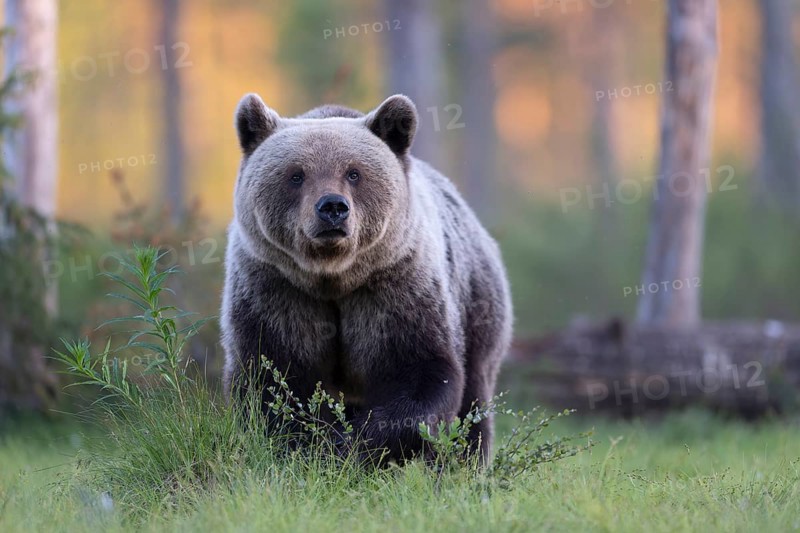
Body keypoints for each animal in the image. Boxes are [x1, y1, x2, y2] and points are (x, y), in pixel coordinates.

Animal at [221, 93, 512, 464]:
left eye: (353, 173)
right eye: (296, 175)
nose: (332, 207)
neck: (332, 276)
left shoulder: (395, 287)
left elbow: (419, 375)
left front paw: (352, 445)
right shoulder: (277, 289)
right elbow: (274, 377)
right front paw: (310, 445)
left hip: (477, 305)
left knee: (474, 396)